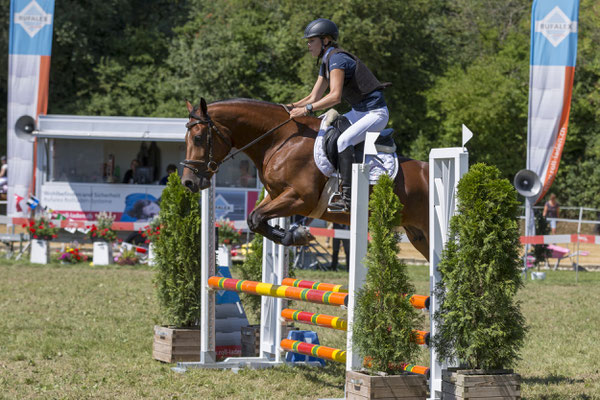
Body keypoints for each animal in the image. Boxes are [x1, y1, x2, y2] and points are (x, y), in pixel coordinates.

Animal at [180, 97, 428, 260]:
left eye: (199, 138)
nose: (188, 182)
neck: (281, 140)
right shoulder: (275, 196)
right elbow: (254, 219)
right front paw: (294, 234)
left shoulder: (300, 199)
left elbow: (257, 218)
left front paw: (297, 236)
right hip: (418, 235)